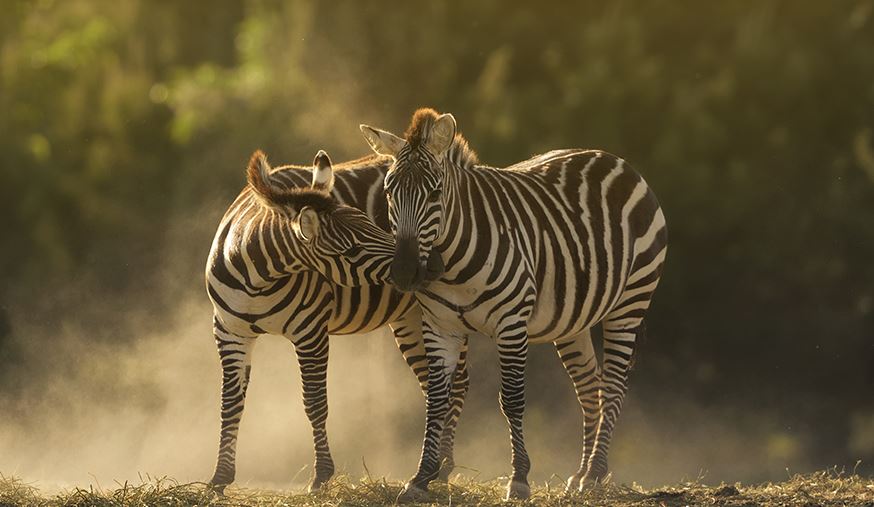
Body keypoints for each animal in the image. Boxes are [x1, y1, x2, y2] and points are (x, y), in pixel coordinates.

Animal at [203, 149, 470, 494]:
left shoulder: (311, 331)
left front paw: (321, 476)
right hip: (410, 318)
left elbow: (315, 402)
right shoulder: (229, 332)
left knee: (458, 384)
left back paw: (445, 466)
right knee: (434, 385)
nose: (434, 265)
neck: (257, 277)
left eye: (373, 223)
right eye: (352, 250)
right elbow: (230, 404)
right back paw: (435, 465)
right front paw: (219, 478)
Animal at [362, 109, 668, 502]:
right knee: (590, 387)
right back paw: (582, 474)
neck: (453, 263)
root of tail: (613, 158)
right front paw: (420, 477)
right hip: (574, 320)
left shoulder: (511, 323)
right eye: (389, 192)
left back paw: (595, 473)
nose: (404, 272)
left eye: (435, 192)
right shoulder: (440, 326)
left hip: (631, 300)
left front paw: (519, 478)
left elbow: (511, 400)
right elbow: (436, 400)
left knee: (613, 384)